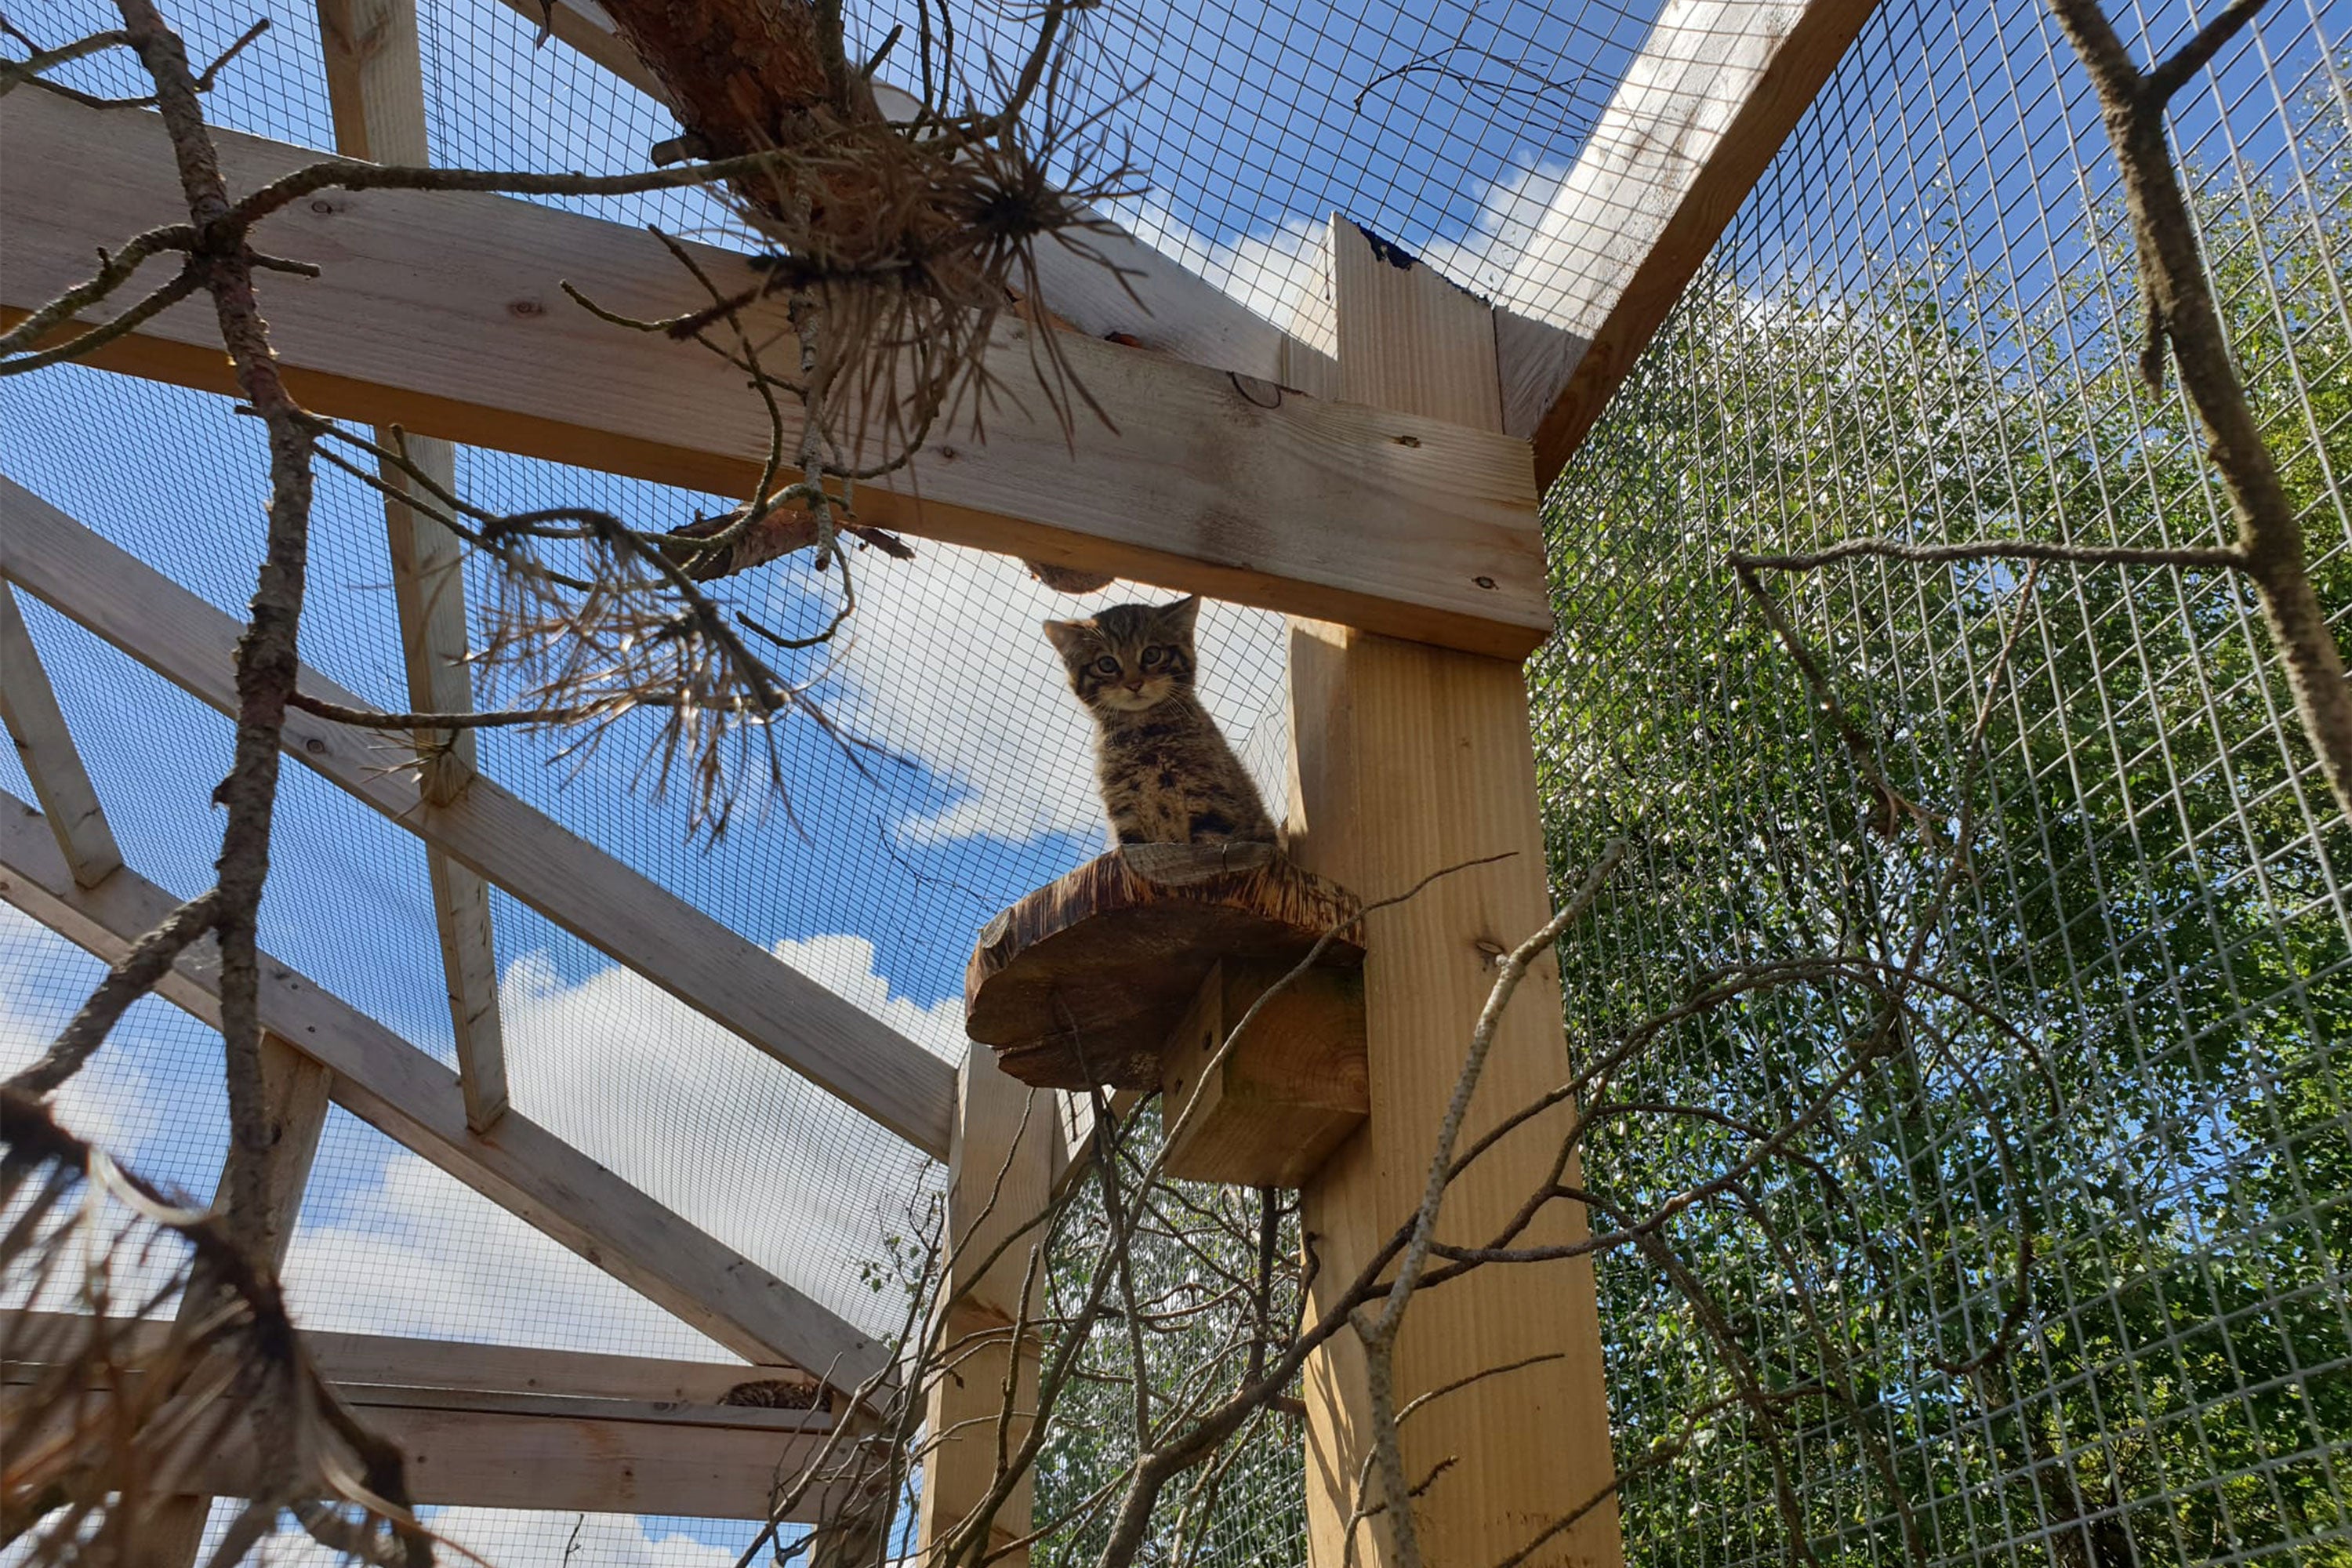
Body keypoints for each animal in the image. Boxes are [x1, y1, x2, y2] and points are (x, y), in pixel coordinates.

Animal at [1044, 597, 1279, 846]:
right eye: (1107, 664)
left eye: (1151, 654)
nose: (1134, 684)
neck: (1143, 734)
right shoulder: (1125, 812)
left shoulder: (1209, 797)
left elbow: (1209, 840)